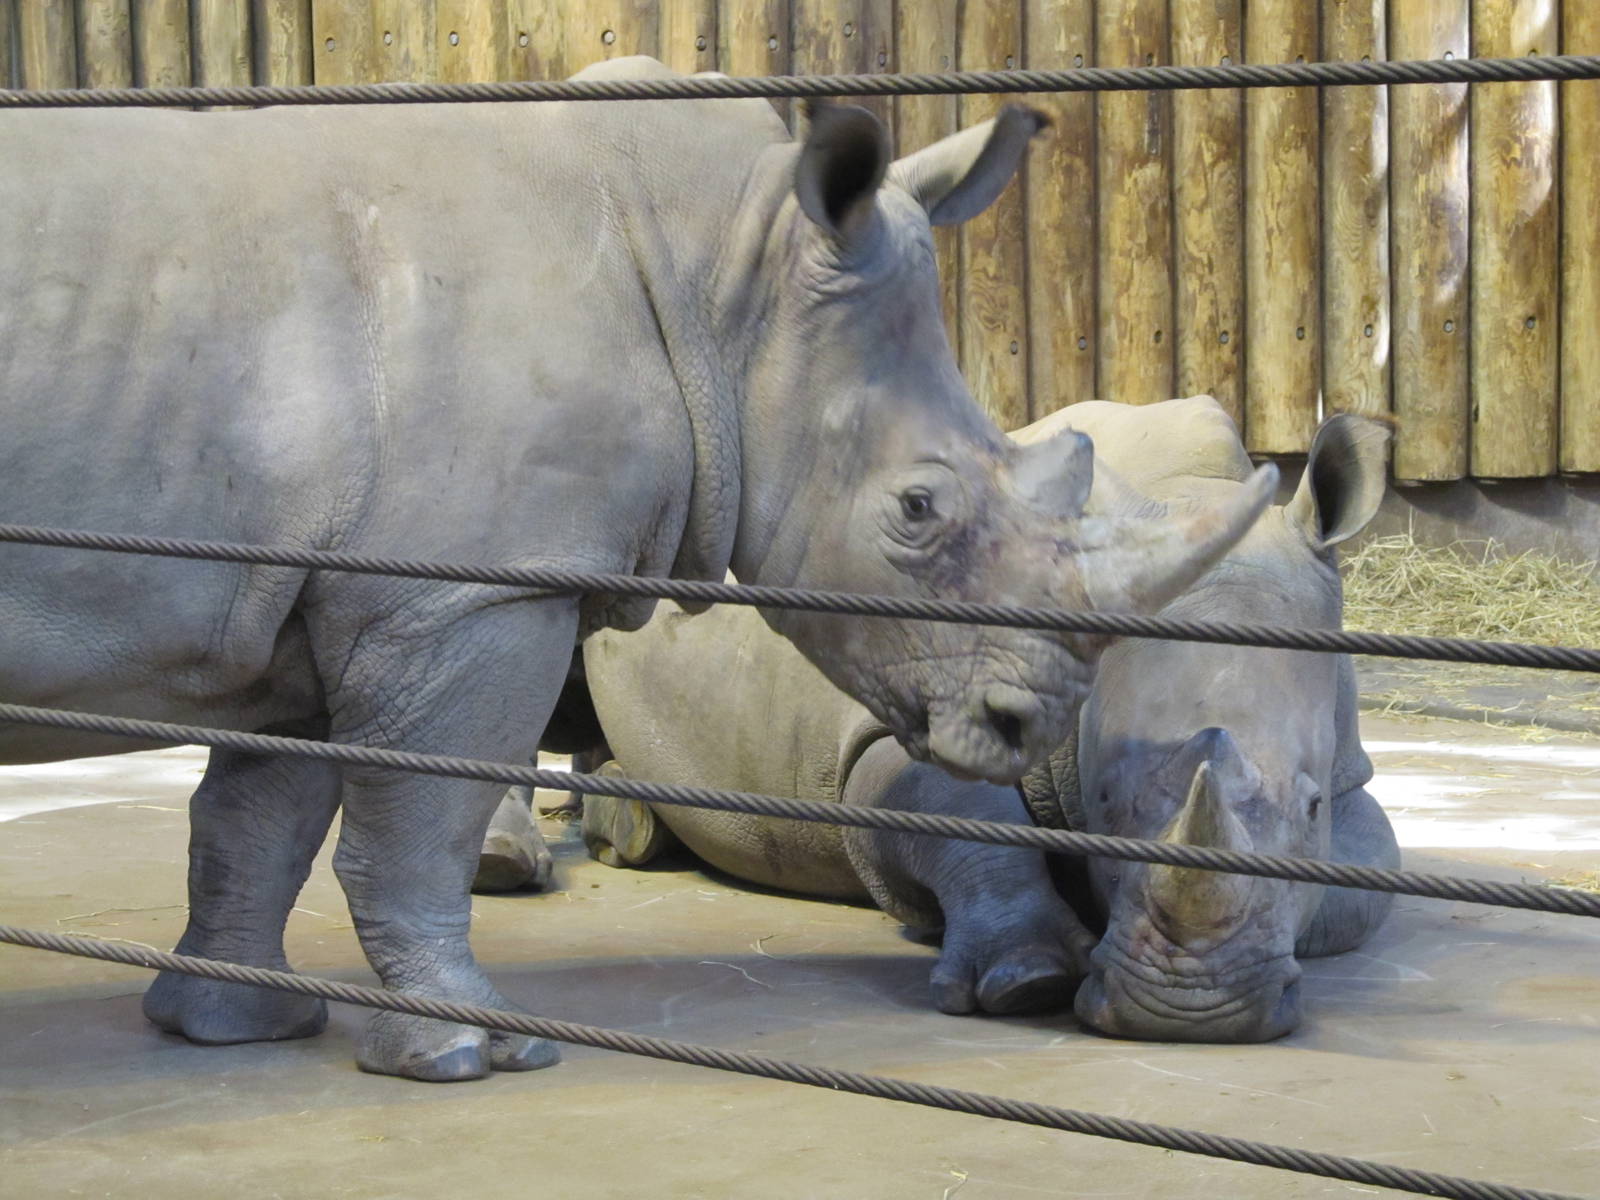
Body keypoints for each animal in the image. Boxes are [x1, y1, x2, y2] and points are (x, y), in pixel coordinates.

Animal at [0, 58, 1273, 1082]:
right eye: (917, 511)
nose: (1032, 725)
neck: (728, 280)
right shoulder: (469, 588)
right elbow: (417, 820)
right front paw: (474, 1051)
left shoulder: (319, 582)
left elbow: (257, 819)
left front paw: (234, 1030)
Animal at [576, 398, 1398, 1039]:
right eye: (1104, 802)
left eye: (1313, 807)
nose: (1190, 1013)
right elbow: (956, 809)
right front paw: (1029, 976)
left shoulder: (1347, 767)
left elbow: (1363, 877)